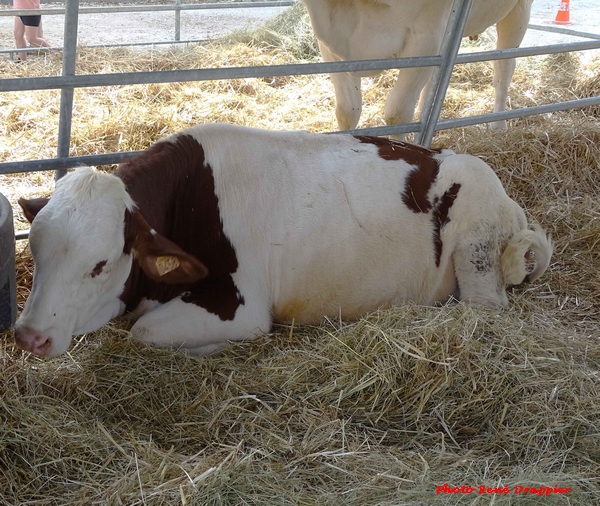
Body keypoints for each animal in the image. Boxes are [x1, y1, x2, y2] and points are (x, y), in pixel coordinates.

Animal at [14, 123, 552, 358]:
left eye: (100, 264)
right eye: (35, 252)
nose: (29, 336)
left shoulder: (243, 306)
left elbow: (143, 331)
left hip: (476, 260)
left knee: (484, 308)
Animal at [304, 0, 536, 133]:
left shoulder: (426, 35)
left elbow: (397, 114)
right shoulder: (330, 44)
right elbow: (347, 111)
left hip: (518, 10)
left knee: (504, 66)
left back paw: (498, 125)